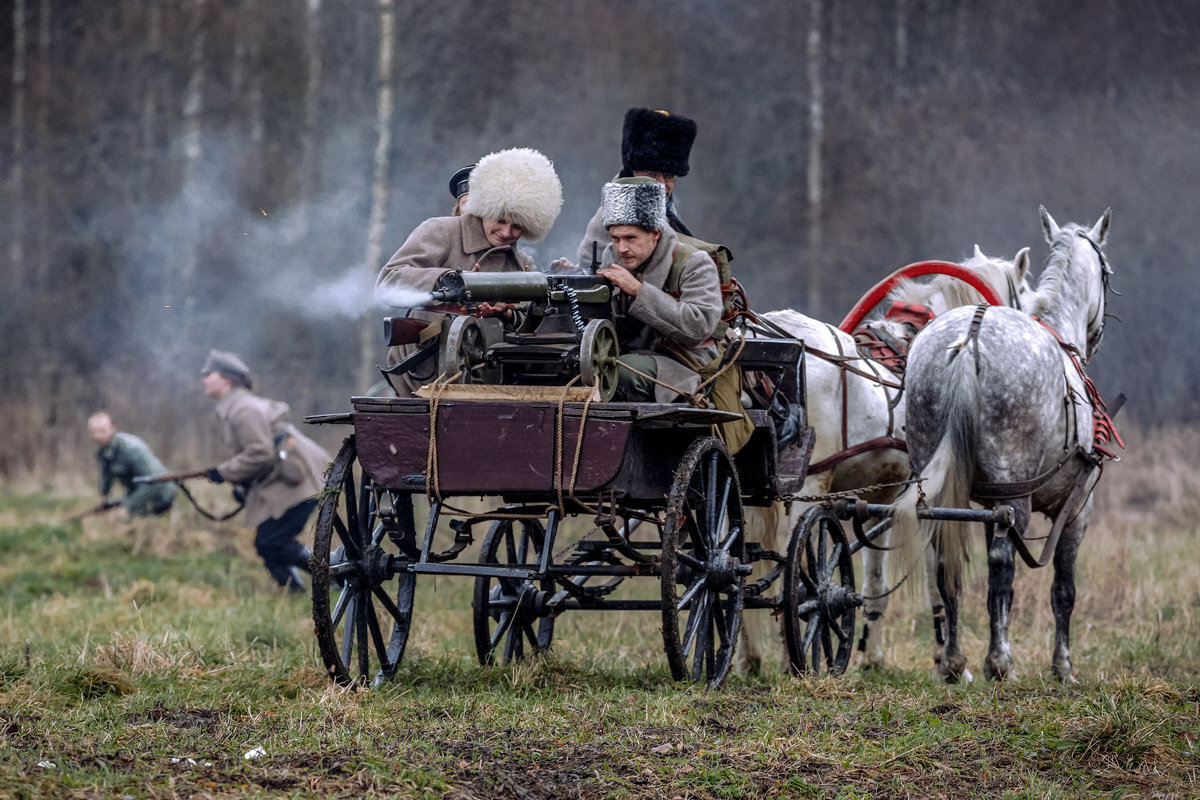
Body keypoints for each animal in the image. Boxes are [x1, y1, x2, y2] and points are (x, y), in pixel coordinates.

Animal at [739, 247, 1032, 671]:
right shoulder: (921, 498)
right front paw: (945, 658)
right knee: (798, 576)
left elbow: (877, 580)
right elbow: (933, 578)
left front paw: (873, 655)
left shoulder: (877, 498)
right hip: (809, 487)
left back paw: (748, 657)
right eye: (1023, 296)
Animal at [892, 206, 1113, 681]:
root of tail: (971, 336)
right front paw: (1063, 667)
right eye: (1107, 273)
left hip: (941, 486)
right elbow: (1063, 589)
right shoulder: (1078, 507)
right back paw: (999, 661)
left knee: (944, 563)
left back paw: (954, 663)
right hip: (1015, 497)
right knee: (1001, 564)